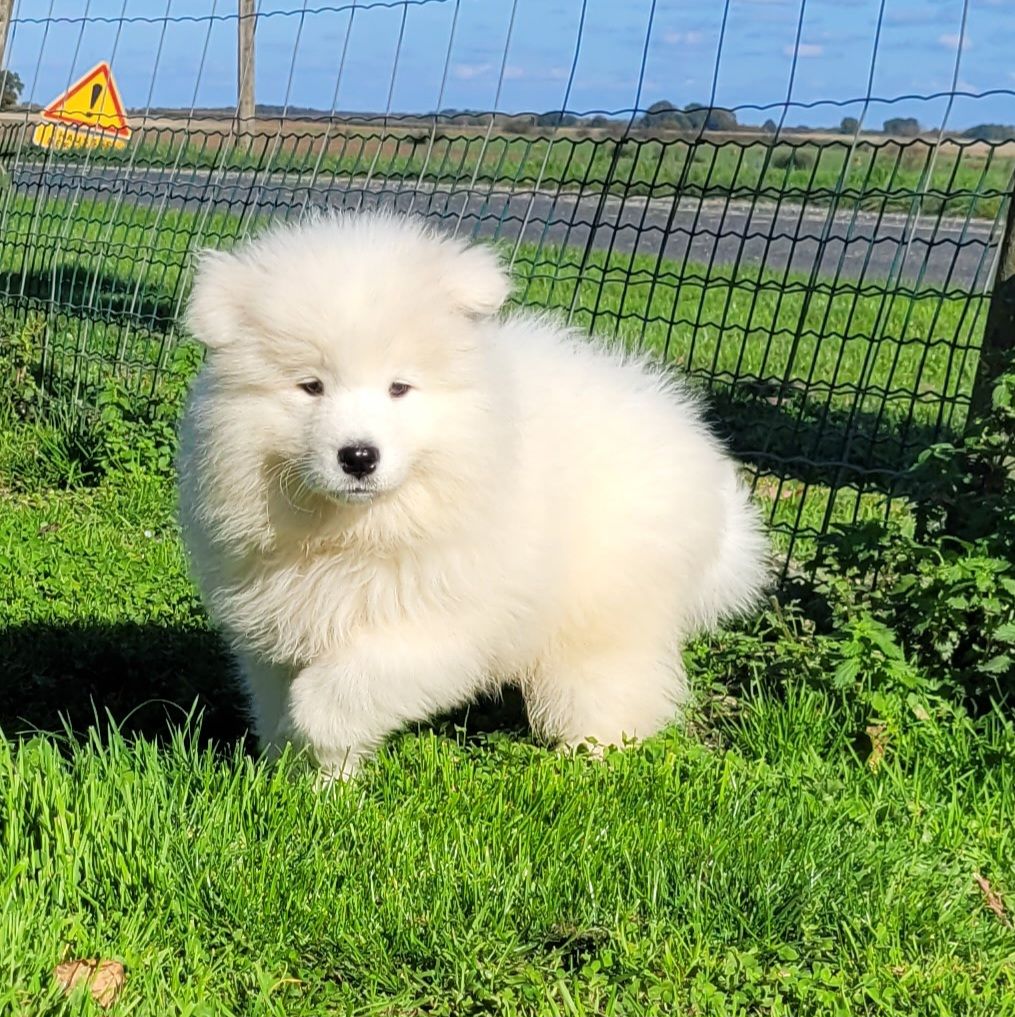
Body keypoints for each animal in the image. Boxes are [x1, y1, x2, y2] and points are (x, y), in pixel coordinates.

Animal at [176, 208, 768, 776]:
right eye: (310, 386)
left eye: (399, 387)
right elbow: (281, 699)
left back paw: (589, 758)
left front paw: (312, 740)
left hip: (608, 606)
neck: (358, 531)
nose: (359, 457)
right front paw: (305, 778)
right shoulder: (280, 619)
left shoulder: (443, 624)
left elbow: (336, 692)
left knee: (614, 686)